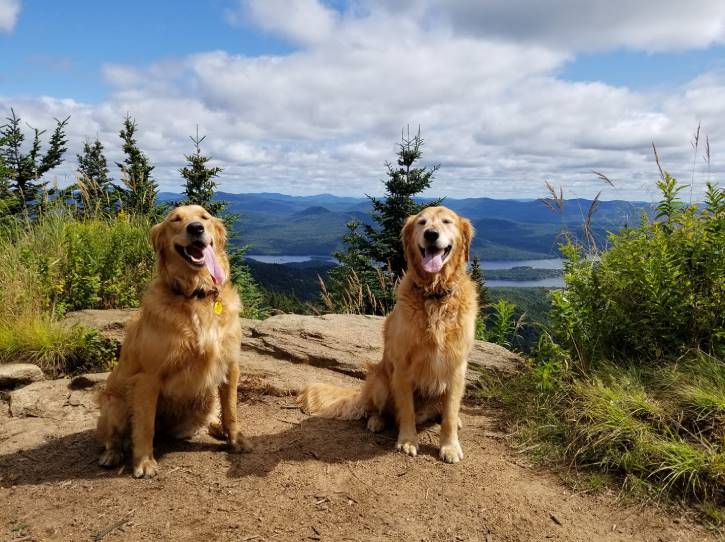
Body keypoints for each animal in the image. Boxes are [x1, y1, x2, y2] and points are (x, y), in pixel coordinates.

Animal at [96, 205, 249, 480]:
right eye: (175, 220)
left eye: (204, 217)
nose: (195, 228)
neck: (196, 295)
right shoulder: (147, 379)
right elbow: (144, 426)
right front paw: (144, 462)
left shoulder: (230, 366)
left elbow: (231, 409)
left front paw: (235, 438)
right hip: (115, 403)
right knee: (113, 436)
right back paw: (112, 454)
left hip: (206, 398)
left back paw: (216, 426)